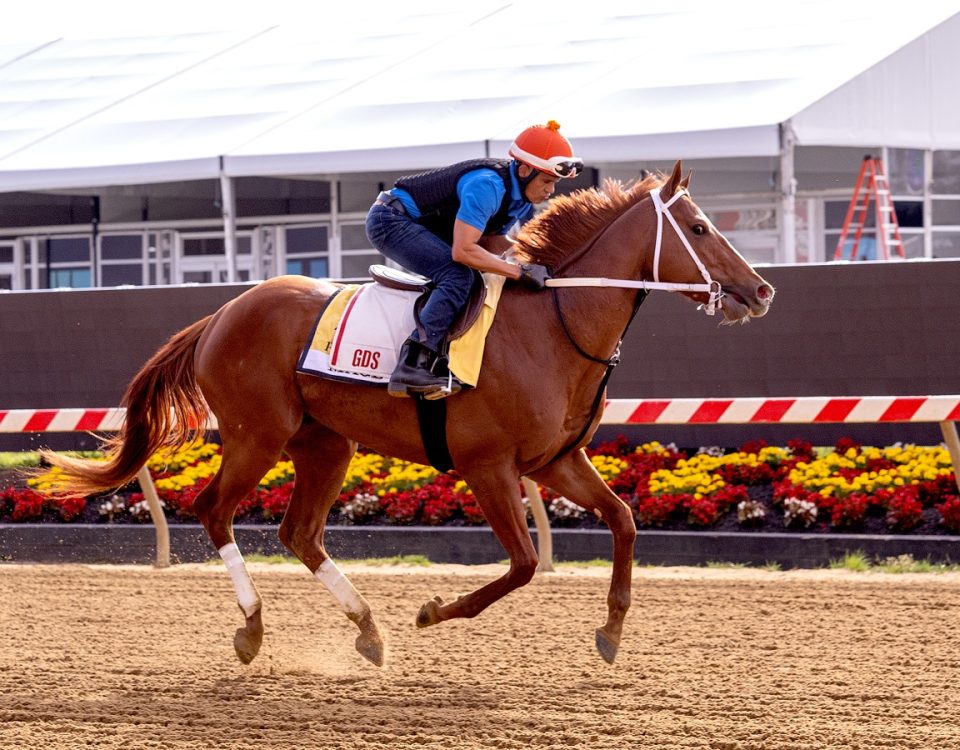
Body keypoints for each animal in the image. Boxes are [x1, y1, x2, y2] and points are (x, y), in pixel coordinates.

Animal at [45, 163, 776, 668]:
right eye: (701, 228)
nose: (761, 289)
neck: (552, 323)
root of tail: (221, 313)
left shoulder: (556, 461)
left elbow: (622, 520)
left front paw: (612, 630)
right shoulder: (488, 465)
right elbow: (522, 565)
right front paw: (432, 611)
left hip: (325, 444)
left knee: (300, 533)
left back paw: (369, 629)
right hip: (258, 435)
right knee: (215, 511)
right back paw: (253, 628)